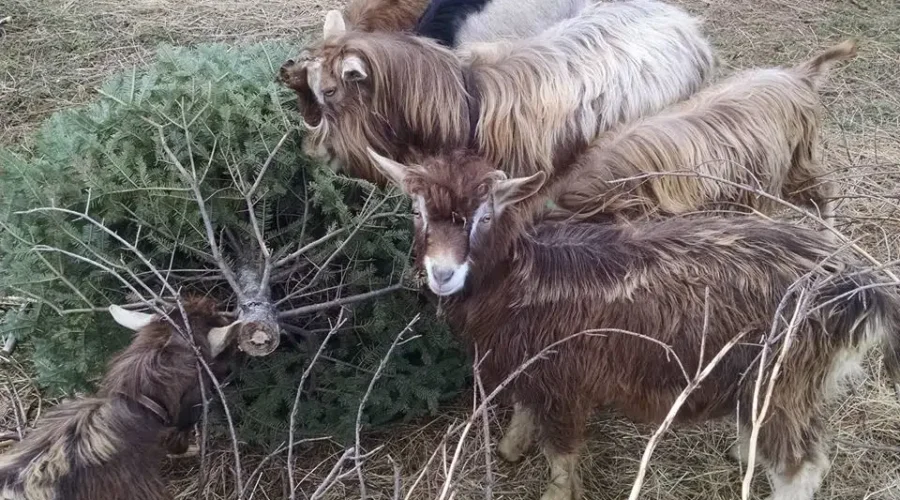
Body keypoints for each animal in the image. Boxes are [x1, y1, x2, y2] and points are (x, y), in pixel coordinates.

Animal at [366, 149, 900, 500]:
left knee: (800, 468)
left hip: (786, 377)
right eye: (417, 210)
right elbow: (522, 407)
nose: (443, 273)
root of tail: (859, 287)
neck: (524, 278)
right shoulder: (527, 363)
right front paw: (511, 448)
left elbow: (561, 452)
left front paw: (555, 492)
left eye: (484, 217)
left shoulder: (565, 379)